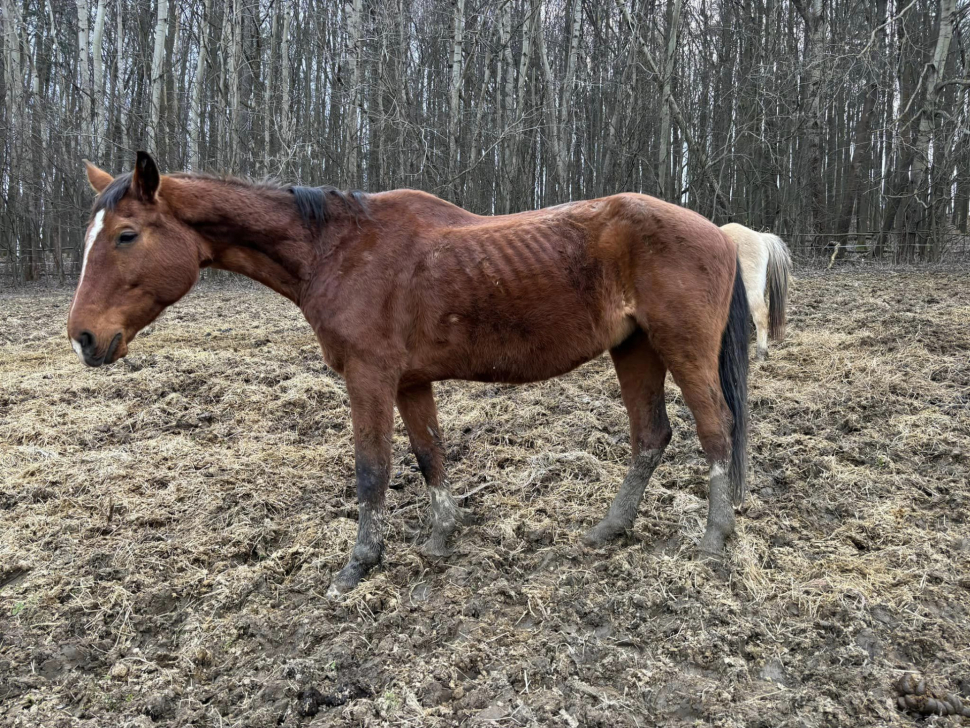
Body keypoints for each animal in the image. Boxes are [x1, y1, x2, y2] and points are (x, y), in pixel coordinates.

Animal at [70, 154, 748, 596]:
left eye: (126, 235)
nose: (83, 337)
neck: (338, 251)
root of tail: (718, 232)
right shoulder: (410, 381)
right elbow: (429, 456)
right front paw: (440, 538)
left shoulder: (369, 376)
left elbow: (373, 470)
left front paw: (359, 564)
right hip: (634, 351)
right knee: (651, 437)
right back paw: (609, 529)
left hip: (682, 350)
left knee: (715, 431)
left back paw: (714, 539)